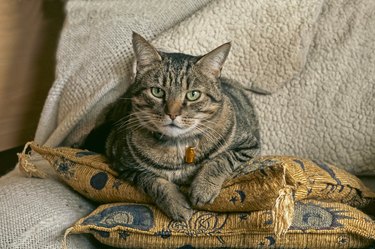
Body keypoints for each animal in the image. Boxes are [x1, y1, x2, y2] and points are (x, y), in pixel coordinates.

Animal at [84, 32, 262, 221]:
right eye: (157, 91)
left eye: (193, 94)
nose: (172, 113)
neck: (178, 147)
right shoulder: (124, 165)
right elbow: (153, 181)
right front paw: (176, 204)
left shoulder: (249, 145)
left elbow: (220, 160)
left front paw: (203, 188)